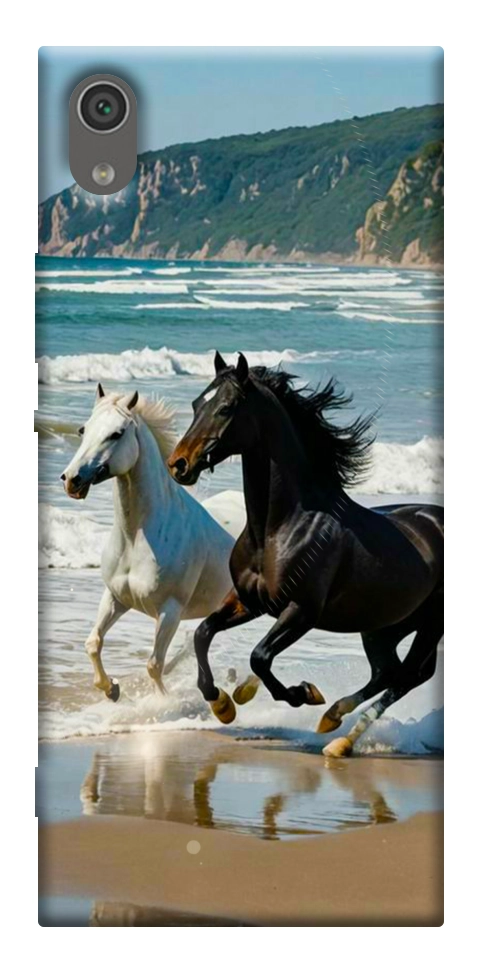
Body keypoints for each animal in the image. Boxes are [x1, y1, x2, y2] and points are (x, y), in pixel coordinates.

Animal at [61, 383, 234, 701]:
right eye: (83, 429)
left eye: (116, 433)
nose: (71, 480)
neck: (137, 538)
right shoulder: (116, 597)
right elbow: (93, 643)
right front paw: (111, 689)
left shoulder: (170, 611)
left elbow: (154, 665)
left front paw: (162, 703)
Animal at [167, 352, 444, 757]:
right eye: (195, 404)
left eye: (227, 407)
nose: (179, 464)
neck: (279, 528)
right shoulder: (249, 601)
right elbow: (203, 633)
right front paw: (222, 704)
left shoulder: (301, 611)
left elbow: (260, 657)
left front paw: (303, 693)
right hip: (383, 626)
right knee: (388, 672)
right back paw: (333, 721)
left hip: (429, 625)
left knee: (408, 676)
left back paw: (339, 737)